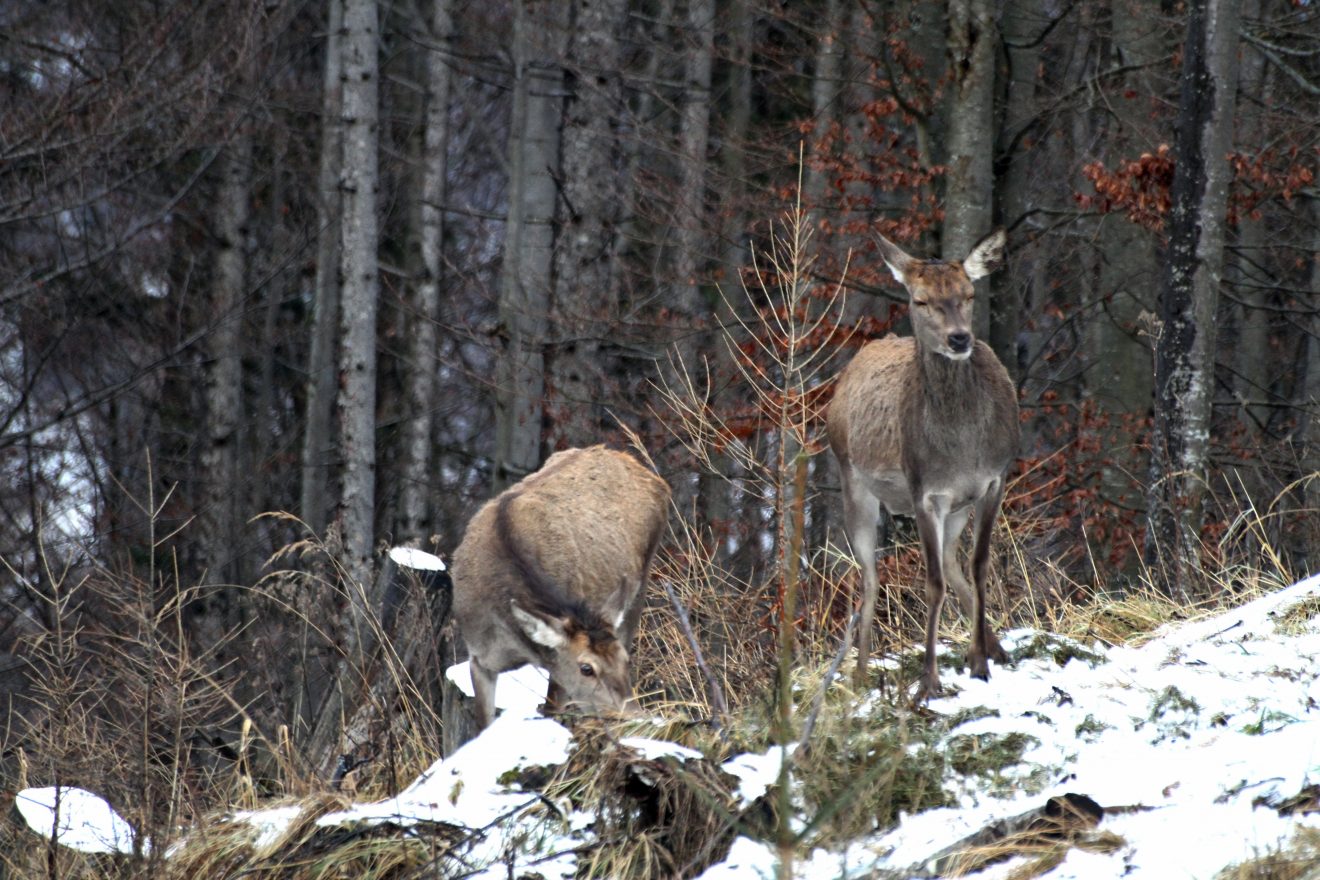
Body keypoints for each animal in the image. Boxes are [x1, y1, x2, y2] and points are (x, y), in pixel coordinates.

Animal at [451, 448, 670, 728]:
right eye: (586, 668)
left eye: (626, 661)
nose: (633, 717)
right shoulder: (479, 657)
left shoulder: (556, 666)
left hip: (642, 582)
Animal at [823, 226, 1019, 701]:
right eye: (920, 300)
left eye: (969, 294)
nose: (959, 339)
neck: (962, 446)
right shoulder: (923, 490)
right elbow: (931, 583)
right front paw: (929, 680)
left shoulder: (993, 480)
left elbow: (978, 566)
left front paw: (981, 664)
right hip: (852, 479)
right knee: (869, 576)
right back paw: (860, 674)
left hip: (957, 507)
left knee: (950, 561)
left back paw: (994, 648)